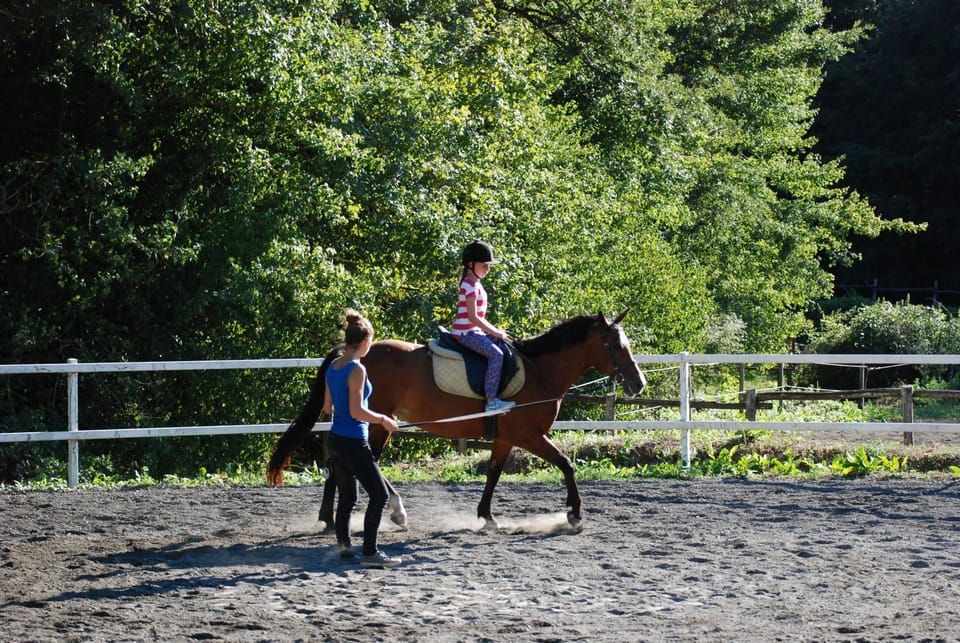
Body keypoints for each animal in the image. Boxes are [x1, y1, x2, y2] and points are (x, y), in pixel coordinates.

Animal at [267, 311, 646, 532]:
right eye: (615, 344)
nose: (638, 383)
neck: (540, 371)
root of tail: (350, 354)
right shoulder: (529, 435)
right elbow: (567, 463)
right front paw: (574, 514)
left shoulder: (506, 438)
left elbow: (493, 473)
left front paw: (487, 516)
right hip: (376, 422)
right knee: (360, 459)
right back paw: (390, 511)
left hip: (378, 422)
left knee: (344, 459)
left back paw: (332, 519)